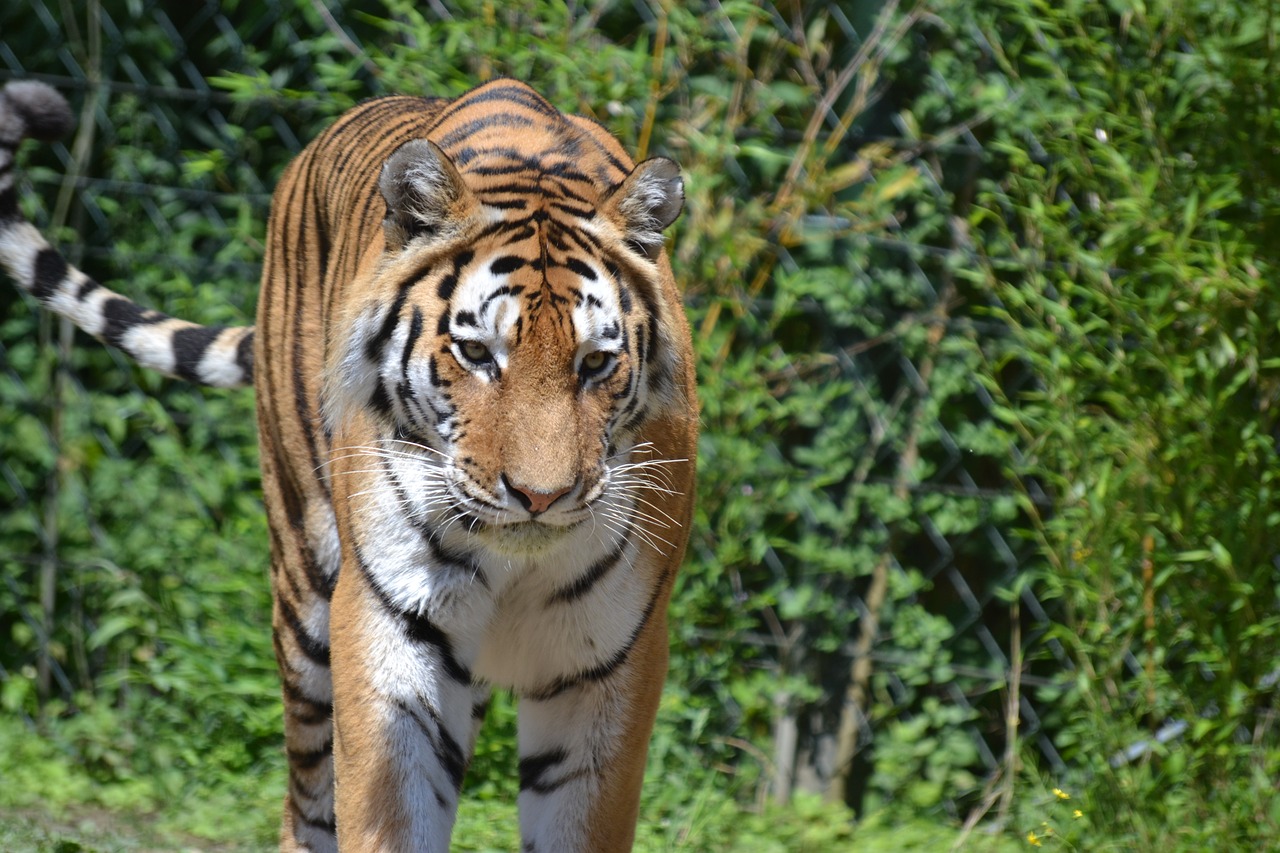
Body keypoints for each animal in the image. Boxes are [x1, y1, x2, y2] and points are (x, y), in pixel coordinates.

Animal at [0, 78, 696, 850]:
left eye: (596, 363)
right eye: (476, 353)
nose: (539, 497)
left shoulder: (612, 656)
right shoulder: (392, 624)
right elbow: (386, 810)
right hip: (304, 584)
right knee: (306, 800)